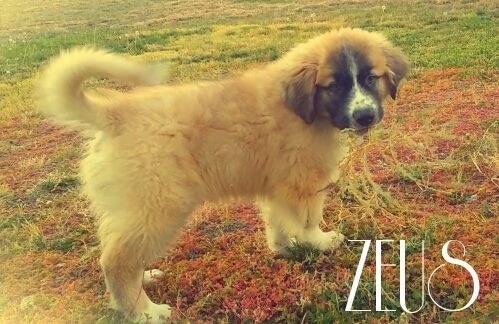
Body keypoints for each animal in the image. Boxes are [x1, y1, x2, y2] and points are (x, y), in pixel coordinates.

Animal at [38, 27, 406, 322]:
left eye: (370, 78)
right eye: (335, 86)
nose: (364, 116)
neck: (304, 109)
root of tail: (114, 114)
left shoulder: (277, 185)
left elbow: (278, 221)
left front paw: (284, 248)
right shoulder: (302, 182)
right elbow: (307, 220)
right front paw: (319, 242)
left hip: (133, 208)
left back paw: (145, 279)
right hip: (158, 205)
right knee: (115, 261)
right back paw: (144, 311)